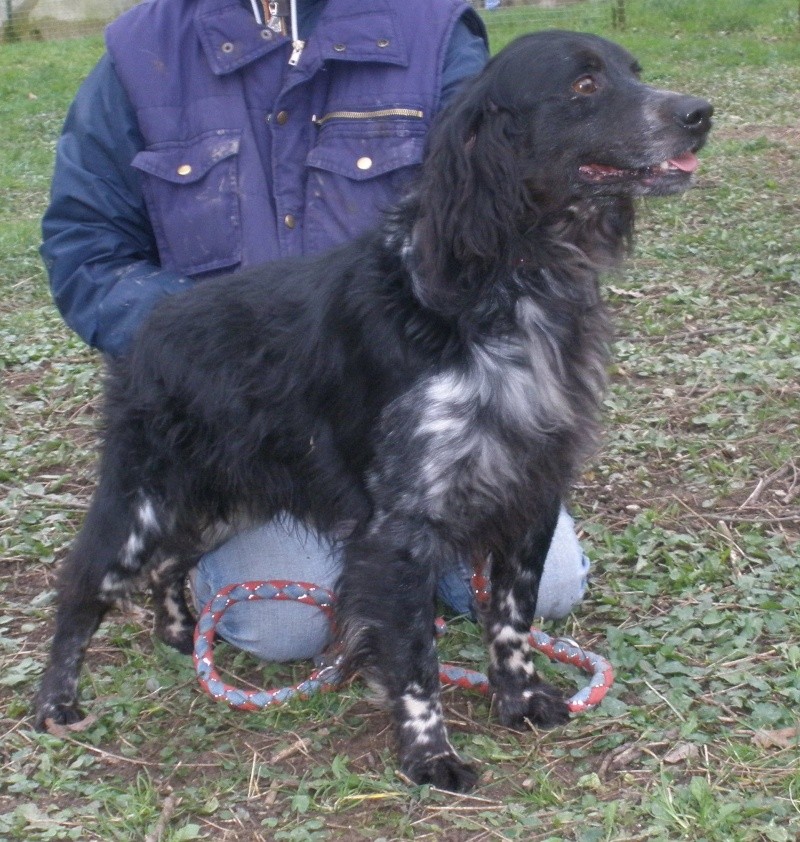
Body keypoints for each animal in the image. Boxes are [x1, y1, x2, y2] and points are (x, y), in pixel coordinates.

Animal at [36, 31, 712, 788]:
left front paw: (517, 700)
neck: (511, 286)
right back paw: (56, 703)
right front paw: (431, 755)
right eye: (584, 84)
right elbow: (415, 658)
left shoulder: (529, 492)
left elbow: (510, 620)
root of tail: (152, 324)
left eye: (634, 73)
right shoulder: (401, 527)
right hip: (143, 502)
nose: (699, 112)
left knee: (167, 567)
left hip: (222, 501)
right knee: (82, 585)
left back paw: (181, 634)